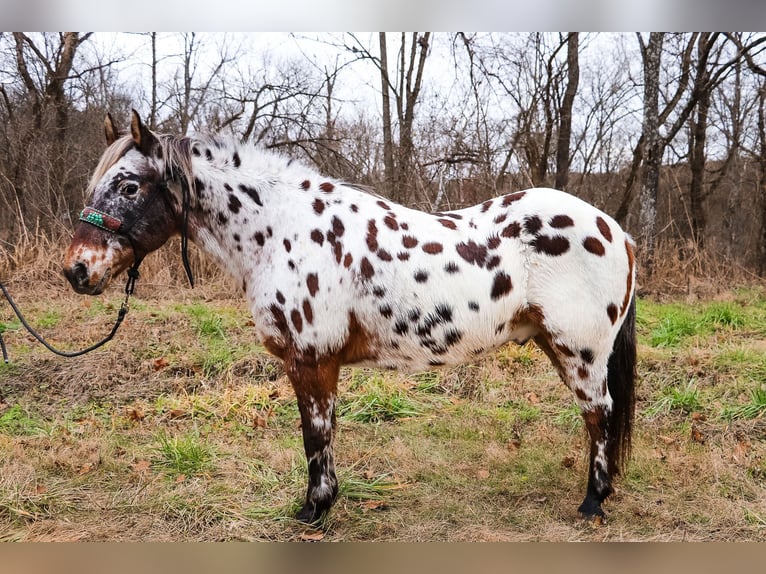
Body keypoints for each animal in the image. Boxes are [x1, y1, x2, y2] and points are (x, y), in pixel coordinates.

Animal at [63, 111, 640, 528]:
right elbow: (321, 435)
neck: (281, 230)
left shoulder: (311, 359)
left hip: (580, 351)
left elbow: (315, 436)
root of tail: (615, 230)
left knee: (600, 415)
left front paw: (315, 510)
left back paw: (593, 503)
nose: (76, 269)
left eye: (129, 186)